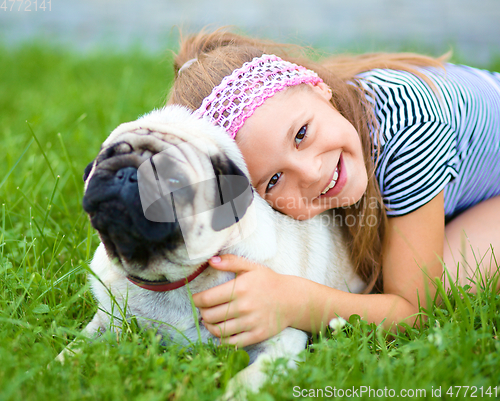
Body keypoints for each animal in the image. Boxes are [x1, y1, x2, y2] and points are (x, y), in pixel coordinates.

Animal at [60, 105, 368, 396]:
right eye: (109, 157)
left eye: (174, 181)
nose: (128, 173)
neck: (170, 281)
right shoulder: (106, 322)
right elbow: (73, 350)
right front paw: (55, 370)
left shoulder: (280, 339)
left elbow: (247, 378)